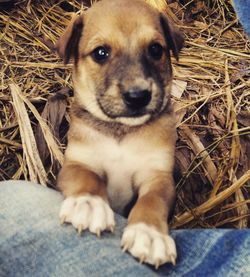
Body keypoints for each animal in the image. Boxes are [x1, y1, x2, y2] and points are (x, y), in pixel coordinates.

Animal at [56, 0, 184, 268]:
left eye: (156, 49)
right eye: (100, 53)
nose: (138, 96)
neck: (122, 130)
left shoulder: (158, 177)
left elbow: (152, 201)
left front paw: (150, 233)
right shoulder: (76, 163)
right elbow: (87, 179)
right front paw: (89, 203)